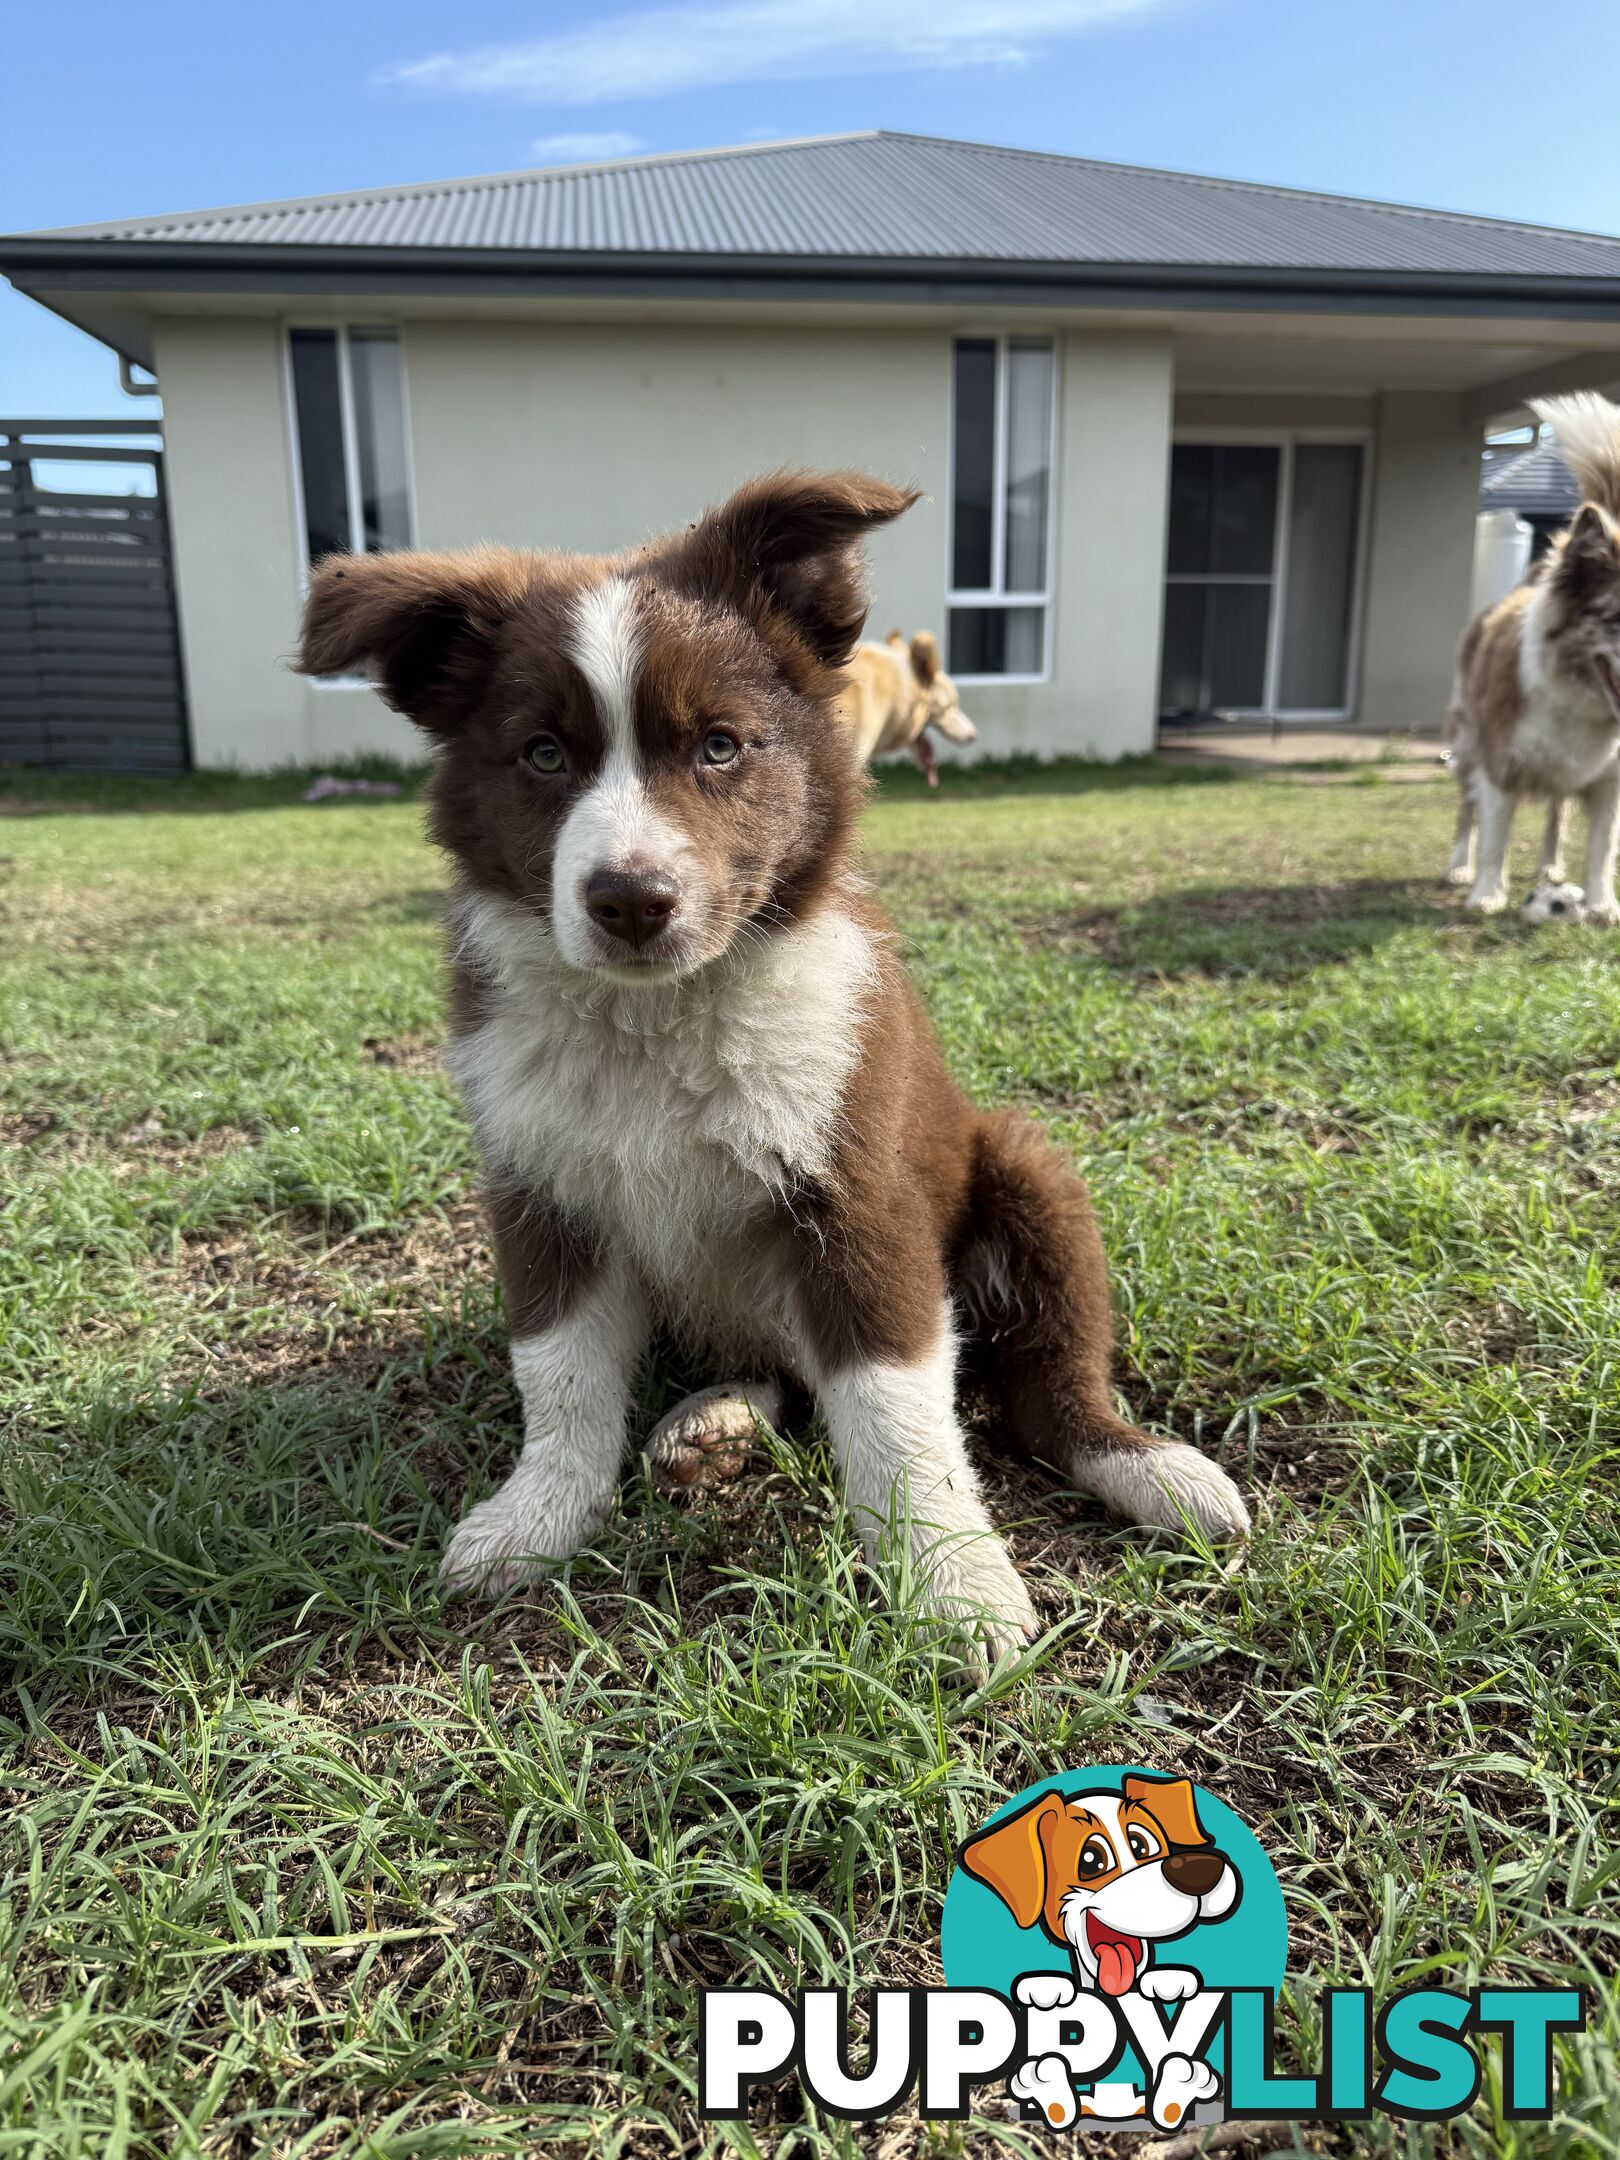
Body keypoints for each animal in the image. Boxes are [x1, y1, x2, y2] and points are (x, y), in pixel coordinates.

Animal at [1451, 397, 1620, 920]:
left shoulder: (1610, 779)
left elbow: (1602, 846)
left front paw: (1602, 905)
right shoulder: (1498, 761)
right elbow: (1494, 835)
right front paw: (1486, 893)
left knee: (1556, 813)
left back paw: (1550, 868)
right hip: (1465, 742)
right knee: (1467, 811)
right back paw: (1457, 867)